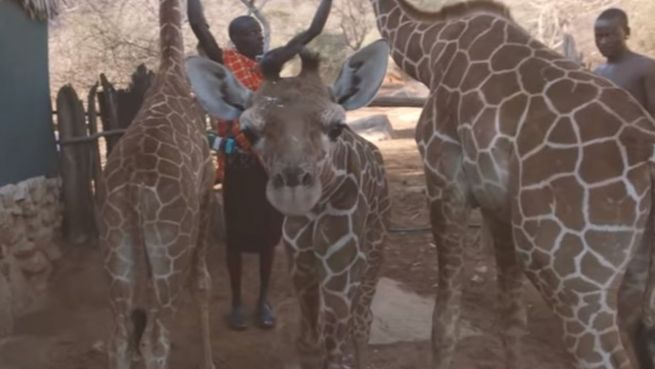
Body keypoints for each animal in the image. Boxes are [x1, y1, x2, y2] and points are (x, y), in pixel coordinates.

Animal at [96, 0, 217, 368]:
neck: (171, 68)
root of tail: (133, 189)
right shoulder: (206, 189)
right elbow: (202, 283)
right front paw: (210, 362)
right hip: (172, 246)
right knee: (157, 339)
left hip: (116, 243)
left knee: (119, 337)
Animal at [182, 0, 392, 366]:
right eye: (249, 130)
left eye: (336, 126)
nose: (294, 189)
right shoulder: (302, 264)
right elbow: (309, 343)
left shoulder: (341, 265)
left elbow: (335, 347)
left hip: (374, 248)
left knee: (362, 320)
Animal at [368, 0, 655, 368]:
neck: (429, 50)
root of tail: (648, 156)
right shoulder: (499, 207)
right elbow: (512, 319)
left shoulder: (443, 179)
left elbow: (444, 321)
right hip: (633, 265)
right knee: (640, 327)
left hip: (570, 274)